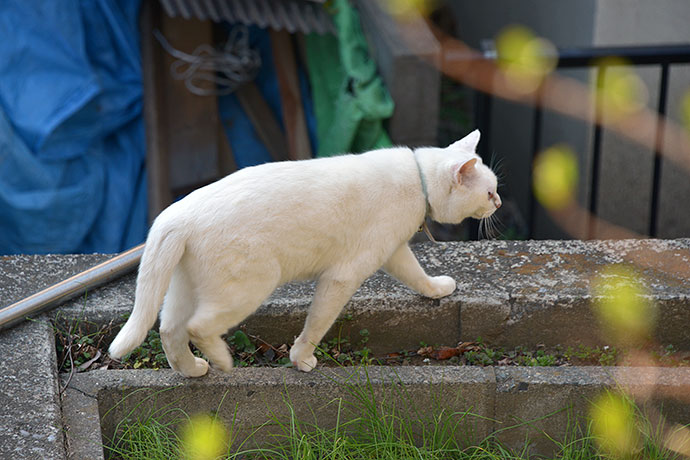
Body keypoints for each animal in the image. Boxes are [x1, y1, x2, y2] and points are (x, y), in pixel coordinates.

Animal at [110, 130, 502, 378]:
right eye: (489, 192)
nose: (498, 202)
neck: (418, 180)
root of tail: (176, 215)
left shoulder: (393, 251)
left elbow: (417, 274)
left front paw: (437, 289)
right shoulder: (344, 275)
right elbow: (317, 323)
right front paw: (301, 359)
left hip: (184, 289)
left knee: (168, 329)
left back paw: (193, 370)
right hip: (251, 285)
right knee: (197, 326)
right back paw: (223, 362)